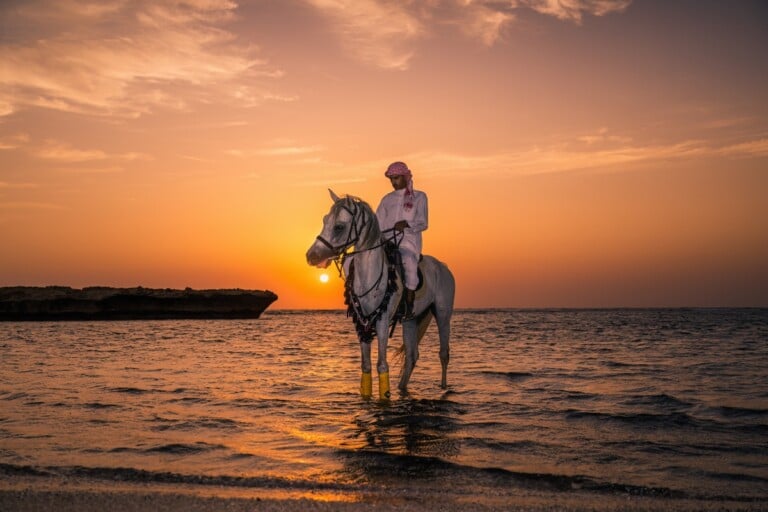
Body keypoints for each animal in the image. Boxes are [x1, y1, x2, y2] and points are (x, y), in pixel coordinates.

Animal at [306, 191, 452, 400]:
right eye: (325, 220)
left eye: (339, 226)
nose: (311, 256)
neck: (369, 272)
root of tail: (443, 267)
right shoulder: (362, 322)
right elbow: (366, 366)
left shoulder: (382, 321)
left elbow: (382, 365)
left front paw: (386, 396)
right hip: (411, 320)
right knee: (412, 355)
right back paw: (402, 388)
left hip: (442, 314)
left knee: (444, 353)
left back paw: (443, 388)